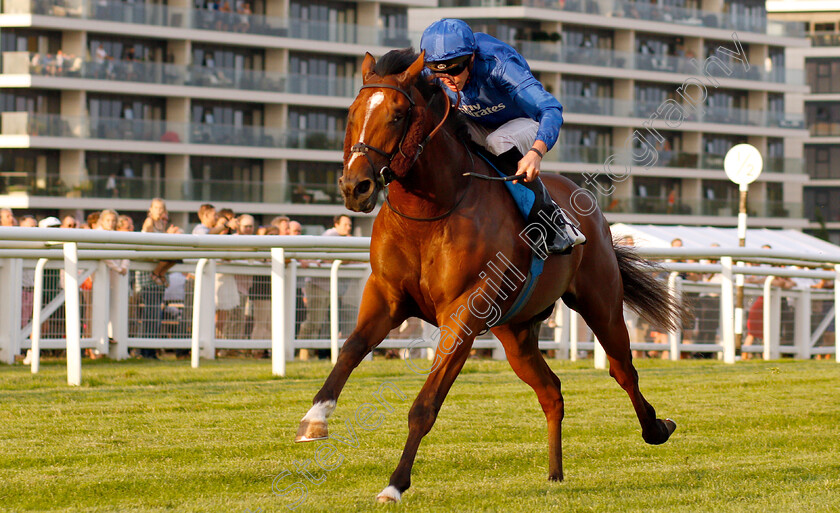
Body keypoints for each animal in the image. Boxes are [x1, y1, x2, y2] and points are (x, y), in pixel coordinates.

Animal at [296, 50, 684, 502]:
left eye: (396, 115)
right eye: (352, 113)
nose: (354, 186)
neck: (430, 210)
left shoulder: (464, 310)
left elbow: (425, 405)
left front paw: (395, 484)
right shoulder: (386, 295)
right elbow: (351, 349)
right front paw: (315, 419)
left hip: (601, 303)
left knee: (623, 370)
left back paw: (656, 428)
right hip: (515, 332)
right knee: (551, 391)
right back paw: (555, 473)